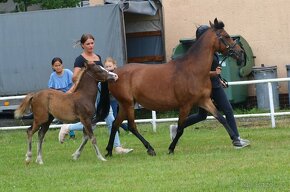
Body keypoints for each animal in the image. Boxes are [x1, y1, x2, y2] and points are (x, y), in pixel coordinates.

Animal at [105, 18, 246, 157]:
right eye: (226, 36)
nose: (241, 53)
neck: (193, 70)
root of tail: (114, 74)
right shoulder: (185, 105)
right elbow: (180, 128)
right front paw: (171, 148)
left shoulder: (204, 101)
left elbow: (221, 118)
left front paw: (236, 140)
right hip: (128, 104)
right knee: (131, 126)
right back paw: (150, 149)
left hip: (125, 104)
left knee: (115, 124)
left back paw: (109, 151)